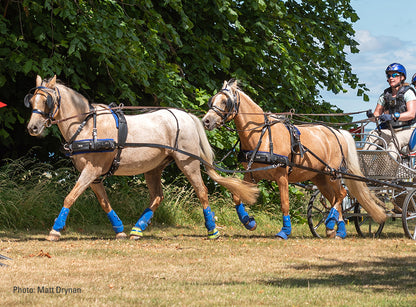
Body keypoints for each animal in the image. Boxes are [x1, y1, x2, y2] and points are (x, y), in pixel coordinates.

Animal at [25, 76, 260, 242]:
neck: (86, 126)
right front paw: (119, 230)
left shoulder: (91, 170)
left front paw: (55, 230)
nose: (32, 127)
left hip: (188, 163)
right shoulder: (95, 175)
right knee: (157, 197)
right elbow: (104, 202)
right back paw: (137, 229)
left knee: (201, 191)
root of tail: (188, 117)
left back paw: (212, 230)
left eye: (47, 101)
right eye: (32, 100)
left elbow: (70, 197)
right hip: (153, 168)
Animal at [202, 80, 386, 239]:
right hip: (321, 178)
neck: (262, 135)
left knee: (341, 194)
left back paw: (332, 224)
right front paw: (249, 222)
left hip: (333, 174)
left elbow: (285, 203)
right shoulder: (252, 174)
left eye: (225, 101)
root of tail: (337, 132)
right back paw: (336, 229)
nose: (206, 121)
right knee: (335, 199)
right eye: (213, 99)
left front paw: (284, 231)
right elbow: (237, 197)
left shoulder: (282, 176)